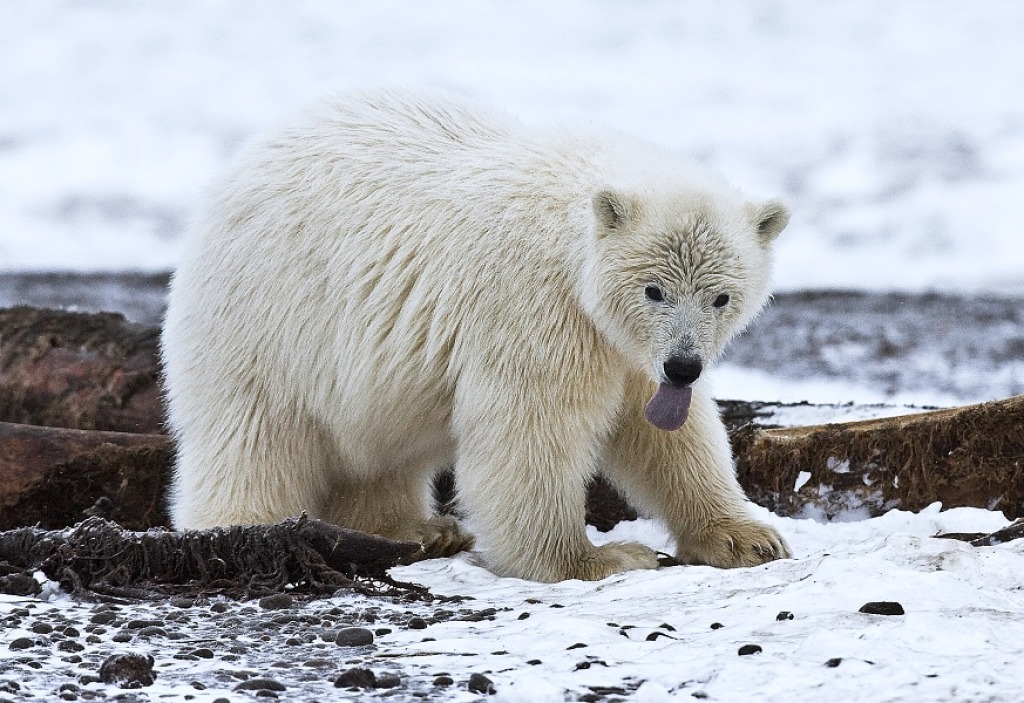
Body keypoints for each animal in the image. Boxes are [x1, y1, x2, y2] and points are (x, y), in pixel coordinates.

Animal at [163, 89, 794, 581]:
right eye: (653, 290)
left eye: (722, 297)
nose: (683, 365)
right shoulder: (534, 305)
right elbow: (530, 429)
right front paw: (597, 559)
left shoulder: (625, 348)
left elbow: (666, 431)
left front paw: (748, 538)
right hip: (265, 320)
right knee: (253, 438)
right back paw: (243, 532)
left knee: (378, 452)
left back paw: (419, 529)